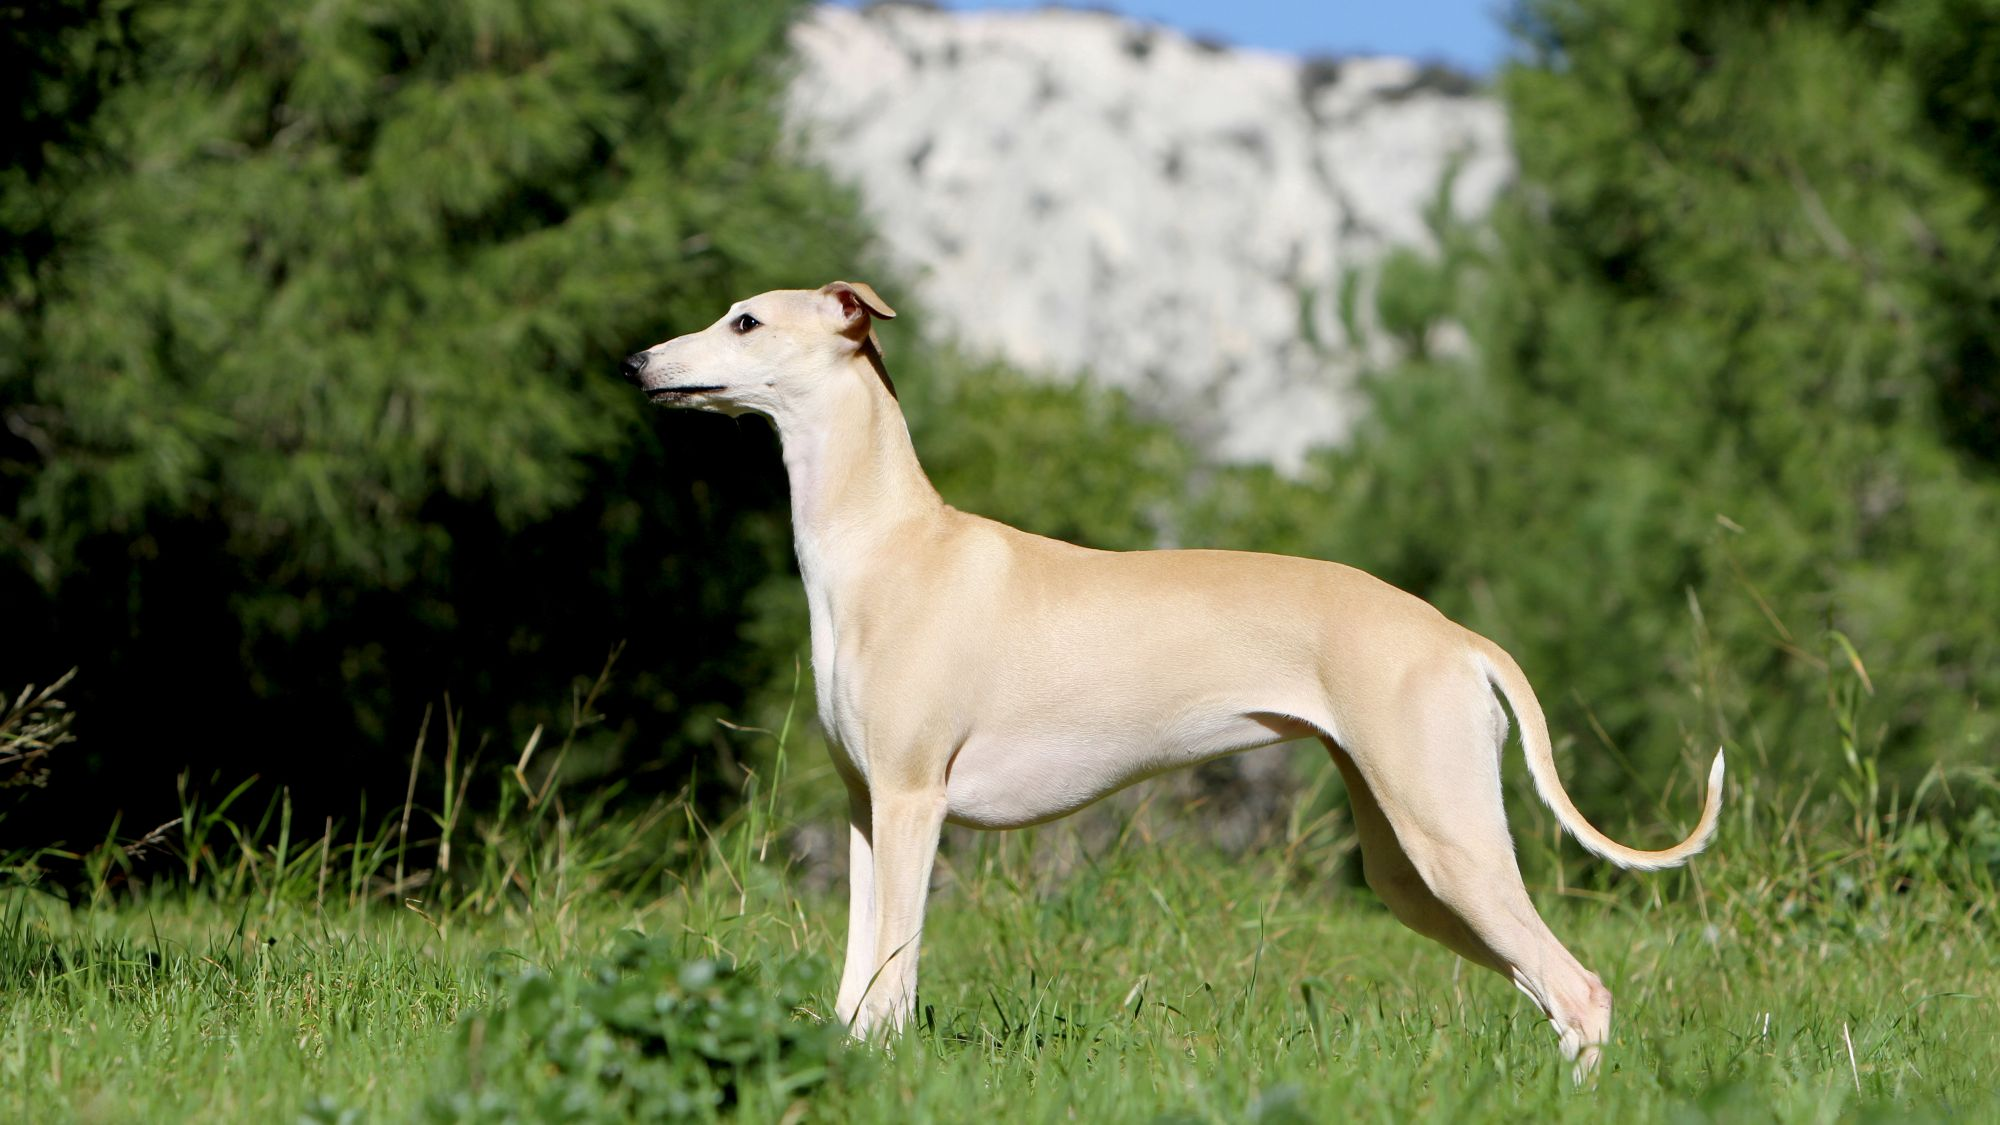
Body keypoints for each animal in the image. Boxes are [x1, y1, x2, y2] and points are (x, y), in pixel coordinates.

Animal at [620, 280, 1720, 1080]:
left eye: (745, 320)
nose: (635, 362)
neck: (890, 543)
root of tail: (1455, 636)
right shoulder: (864, 806)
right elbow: (858, 978)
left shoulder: (912, 801)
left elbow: (893, 971)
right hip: (1411, 869)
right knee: (1552, 991)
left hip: (1448, 839)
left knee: (1579, 988)